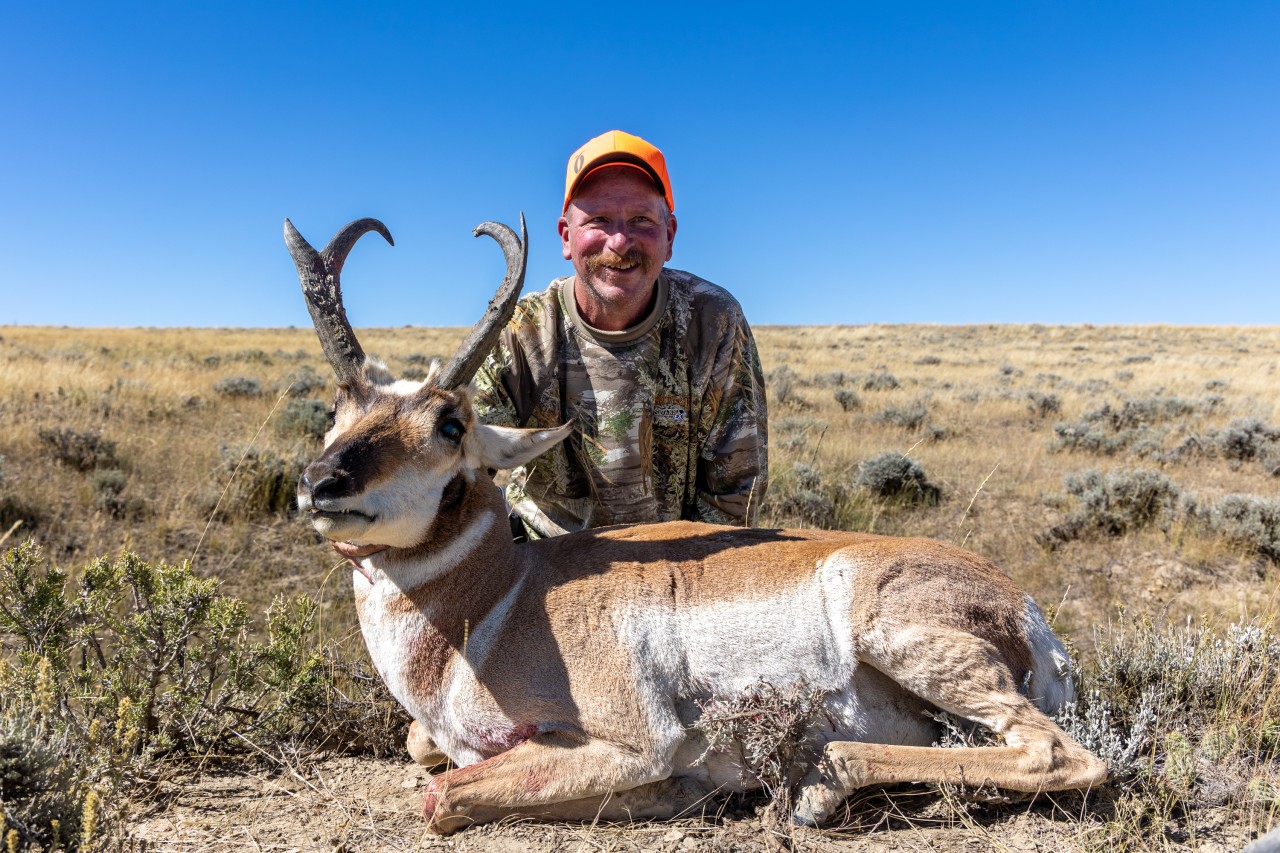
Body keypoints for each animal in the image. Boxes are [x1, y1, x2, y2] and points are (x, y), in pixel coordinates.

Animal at [285, 216, 1108, 834]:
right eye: (339, 407)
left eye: (451, 424)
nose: (321, 484)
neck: (503, 596)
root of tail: (1024, 607)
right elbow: (424, 751)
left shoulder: (629, 742)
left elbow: (444, 794)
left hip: (898, 632)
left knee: (1061, 753)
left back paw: (818, 781)